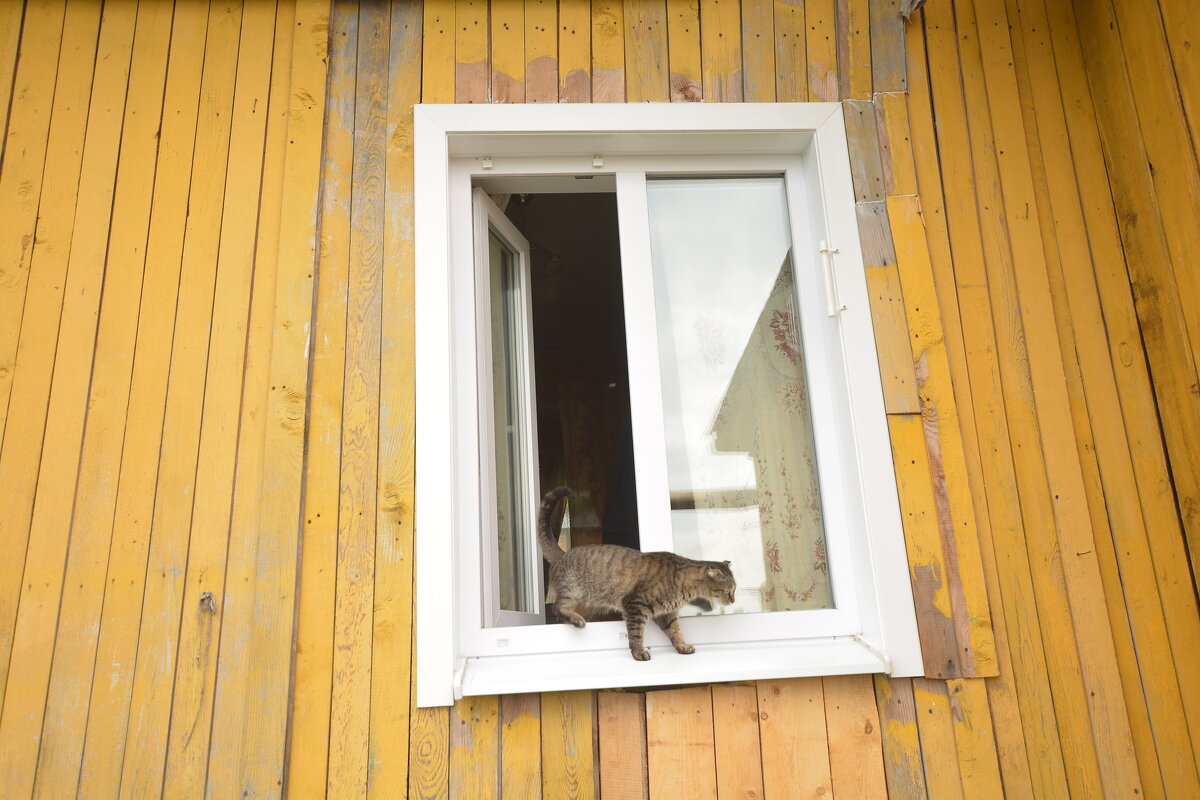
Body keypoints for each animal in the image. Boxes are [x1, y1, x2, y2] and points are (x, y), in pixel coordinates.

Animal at [540, 489, 734, 662]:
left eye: (734, 590)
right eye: (728, 591)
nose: (733, 600)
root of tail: (562, 553)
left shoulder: (666, 615)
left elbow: (675, 632)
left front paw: (682, 646)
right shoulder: (634, 604)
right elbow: (636, 634)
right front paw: (639, 653)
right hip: (572, 591)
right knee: (557, 607)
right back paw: (576, 620)